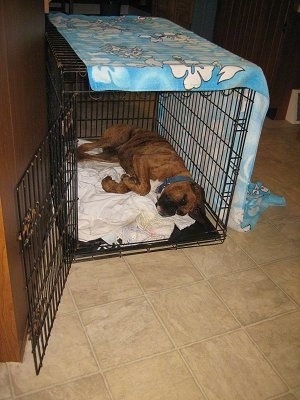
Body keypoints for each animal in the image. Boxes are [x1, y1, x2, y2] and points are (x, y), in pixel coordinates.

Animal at [77, 124, 206, 222]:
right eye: (183, 199)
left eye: (180, 212)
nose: (170, 213)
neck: (172, 176)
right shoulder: (141, 160)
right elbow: (145, 188)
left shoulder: (135, 176)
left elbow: (124, 188)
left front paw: (110, 183)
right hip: (113, 140)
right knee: (86, 145)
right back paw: (75, 153)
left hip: (111, 156)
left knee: (89, 154)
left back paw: (80, 156)